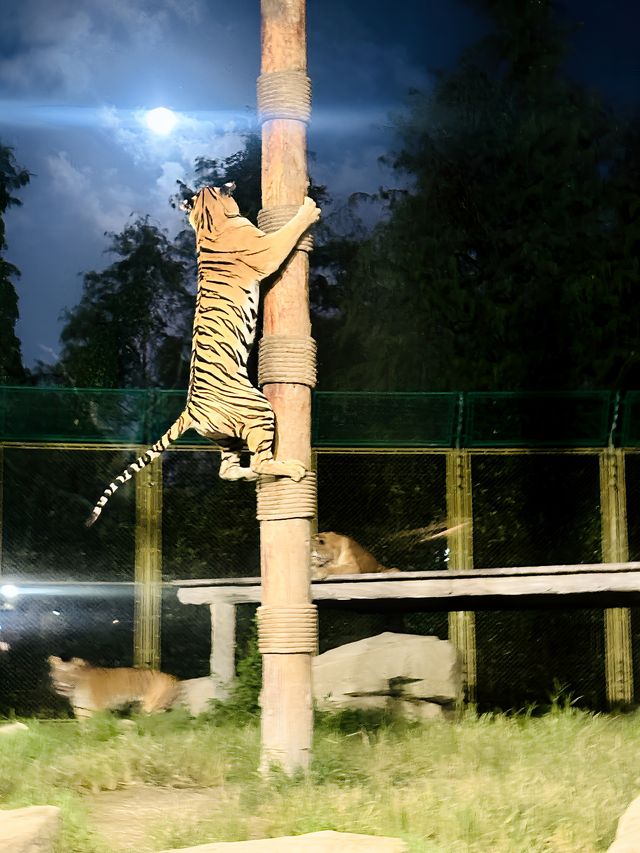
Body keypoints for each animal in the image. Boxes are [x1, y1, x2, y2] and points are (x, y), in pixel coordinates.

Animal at [47, 652, 180, 720]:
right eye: (58, 673)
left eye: (70, 674)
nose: (61, 686)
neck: (74, 691)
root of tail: (172, 677)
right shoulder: (81, 710)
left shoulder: (97, 709)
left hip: (152, 707)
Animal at [85, 181, 320, 524]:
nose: (231, 184)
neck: (209, 221)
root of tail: (189, 411)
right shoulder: (268, 251)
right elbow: (287, 233)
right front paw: (309, 210)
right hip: (258, 410)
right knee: (260, 460)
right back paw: (290, 469)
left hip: (225, 436)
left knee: (228, 471)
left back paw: (251, 475)